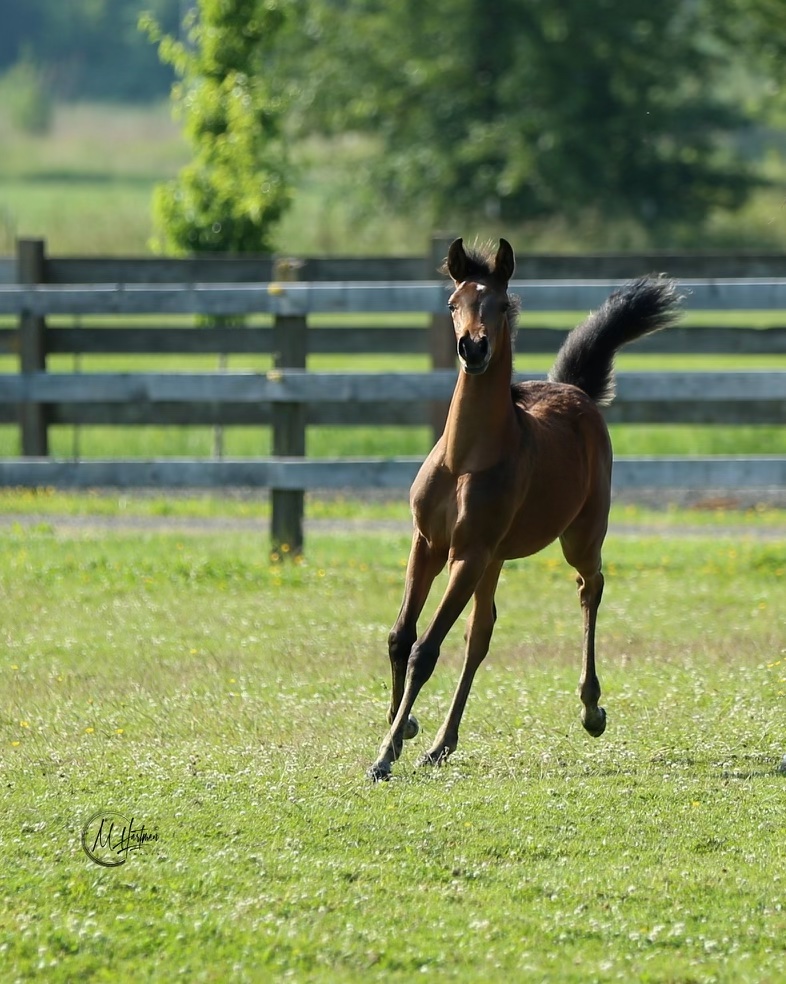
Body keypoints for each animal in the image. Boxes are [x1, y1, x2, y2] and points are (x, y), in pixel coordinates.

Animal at [368, 237, 681, 780]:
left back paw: (591, 707)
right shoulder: (428, 544)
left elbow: (426, 650)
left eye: (499, 305)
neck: (465, 457)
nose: (472, 348)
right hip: (493, 560)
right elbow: (400, 637)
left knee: (590, 586)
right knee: (481, 635)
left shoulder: (467, 554)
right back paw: (441, 744)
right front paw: (403, 729)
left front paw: (385, 754)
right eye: (453, 304)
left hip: (576, 537)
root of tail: (575, 390)